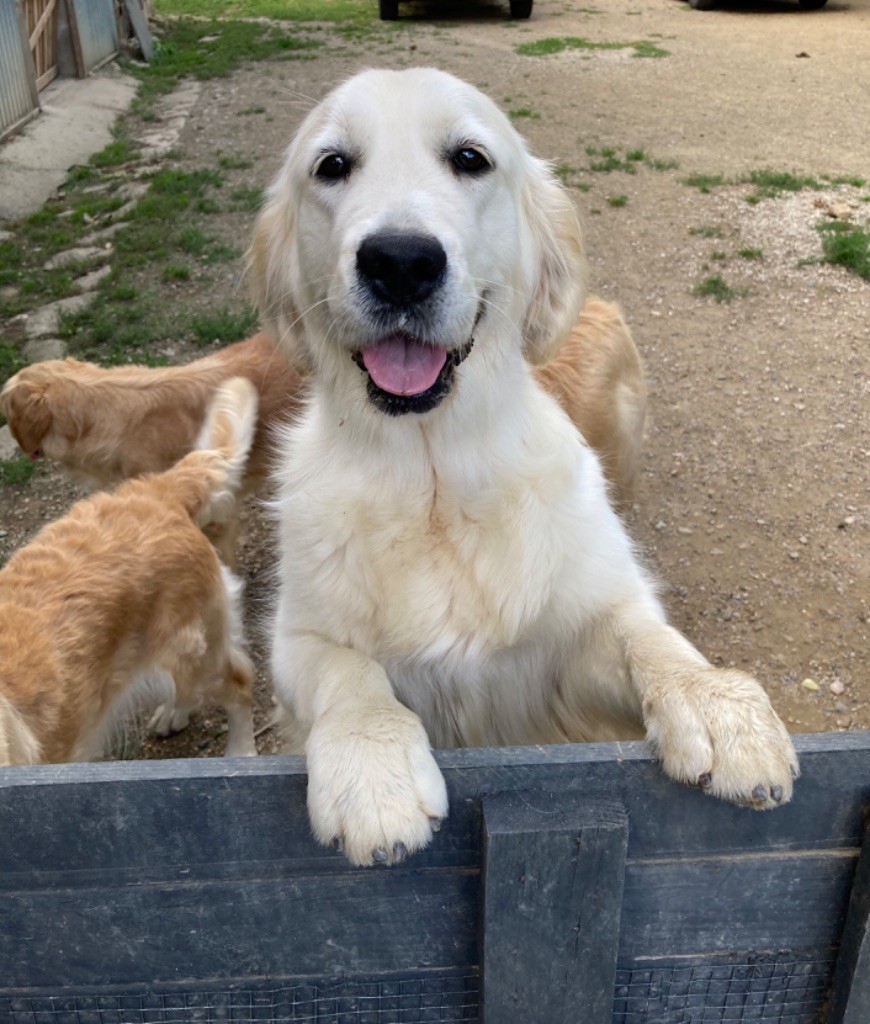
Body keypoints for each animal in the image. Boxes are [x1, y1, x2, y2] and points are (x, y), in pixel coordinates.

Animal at [251, 67, 798, 866]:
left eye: (470, 158)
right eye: (332, 166)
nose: (400, 262)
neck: (435, 480)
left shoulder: (564, 653)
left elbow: (645, 635)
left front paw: (719, 706)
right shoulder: (296, 638)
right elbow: (346, 671)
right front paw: (372, 769)